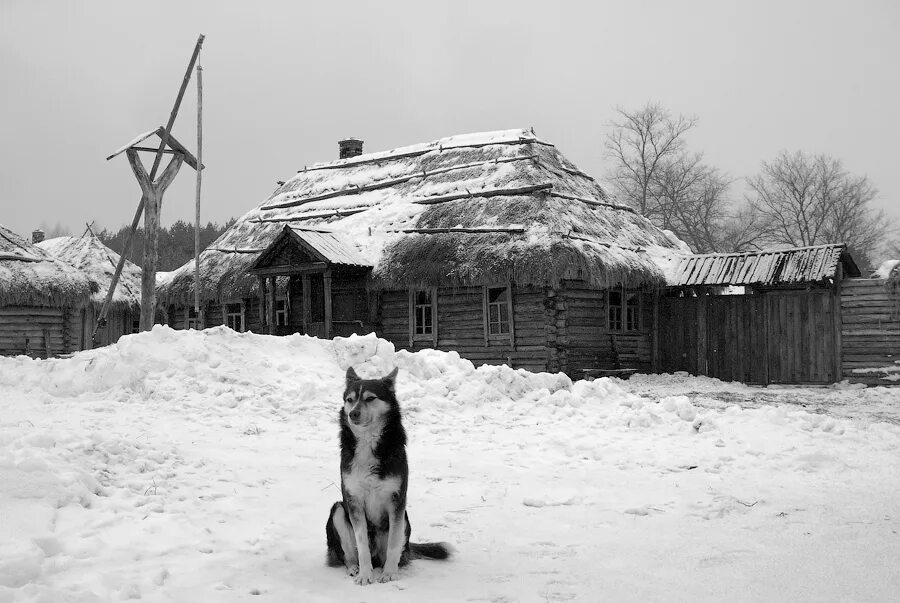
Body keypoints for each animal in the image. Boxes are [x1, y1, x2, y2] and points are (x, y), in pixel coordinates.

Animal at [326, 368, 448, 584]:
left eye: (370, 398)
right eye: (349, 399)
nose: (352, 413)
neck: (368, 441)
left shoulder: (397, 501)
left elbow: (393, 543)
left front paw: (390, 573)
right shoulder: (353, 500)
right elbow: (362, 546)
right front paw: (365, 575)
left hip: (405, 519)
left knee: (397, 551)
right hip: (338, 510)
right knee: (348, 555)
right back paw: (354, 568)